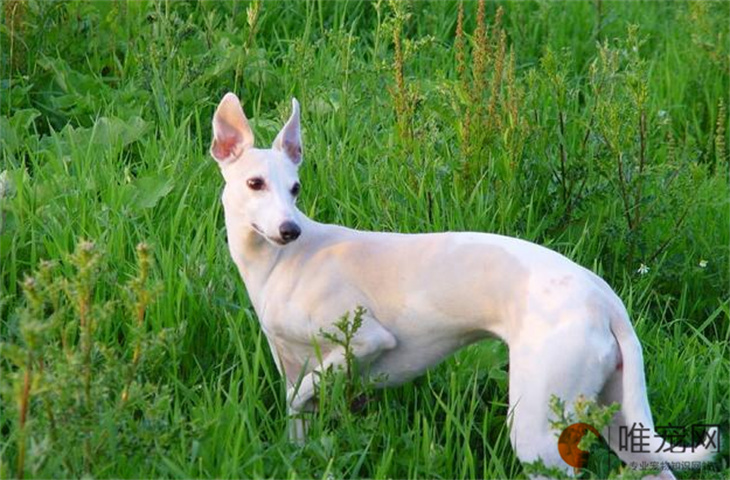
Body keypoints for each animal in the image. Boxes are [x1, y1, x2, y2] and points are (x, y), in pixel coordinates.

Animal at [208, 92, 712, 474]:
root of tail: (605, 299)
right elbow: (298, 412)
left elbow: (306, 391)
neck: (281, 263)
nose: (289, 230)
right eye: (255, 183)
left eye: (294, 189)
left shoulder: (367, 340)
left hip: (538, 432)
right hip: (619, 420)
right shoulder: (294, 366)